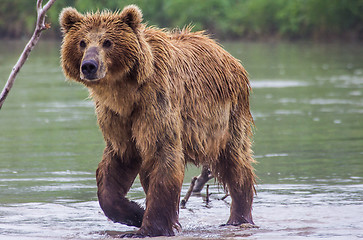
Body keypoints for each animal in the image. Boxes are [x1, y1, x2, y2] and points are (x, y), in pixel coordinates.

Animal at [59, 4, 256, 237]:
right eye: (81, 42)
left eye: (107, 42)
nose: (89, 65)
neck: (125, 92)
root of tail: (227, 54)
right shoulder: (116, 117)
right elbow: (117, 161)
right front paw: (135, 213)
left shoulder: (155, 103)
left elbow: (163, 157)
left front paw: (148, 228)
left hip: (227, 117)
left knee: (235, 162)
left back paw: (239, 218)